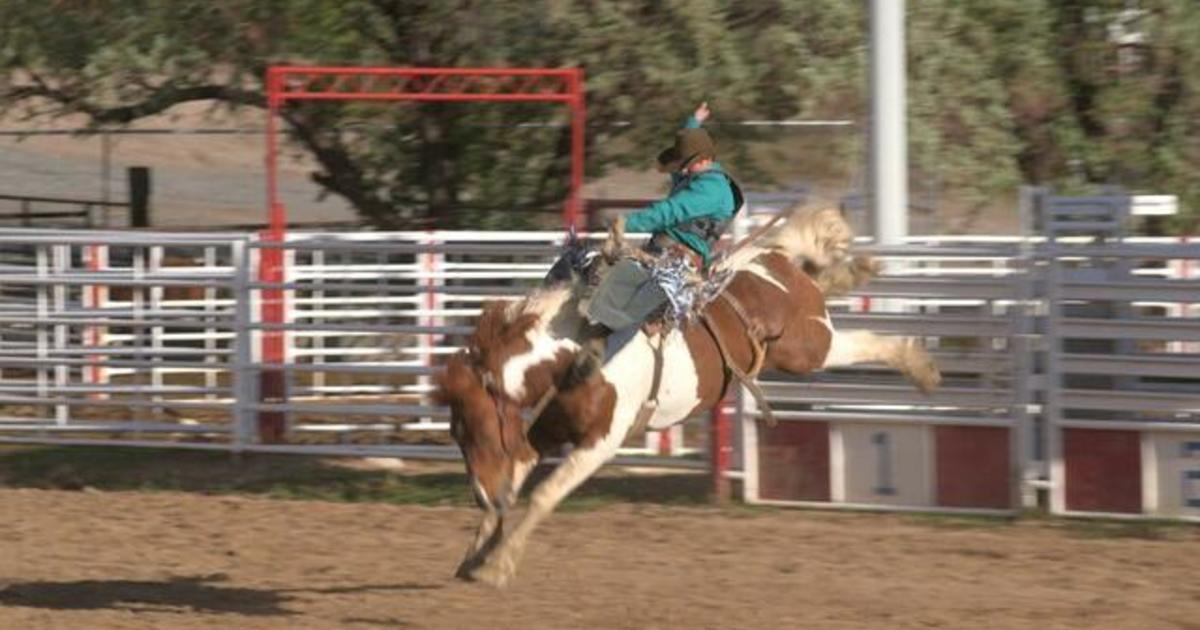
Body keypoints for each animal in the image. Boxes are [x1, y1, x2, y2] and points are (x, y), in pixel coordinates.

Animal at [436, 206, 940, 585]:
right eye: (457, 435)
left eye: (480, 432)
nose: (482, 496)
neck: (575, 349)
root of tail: (768, 258)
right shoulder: (538, 434)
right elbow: (518, 483)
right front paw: (475, 556)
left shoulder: (601, 442)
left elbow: (544, 495)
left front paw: (497, 565)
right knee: (827, 283)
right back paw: (857, 273)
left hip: (808, 347)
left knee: (864, 340)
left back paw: (920, 365)